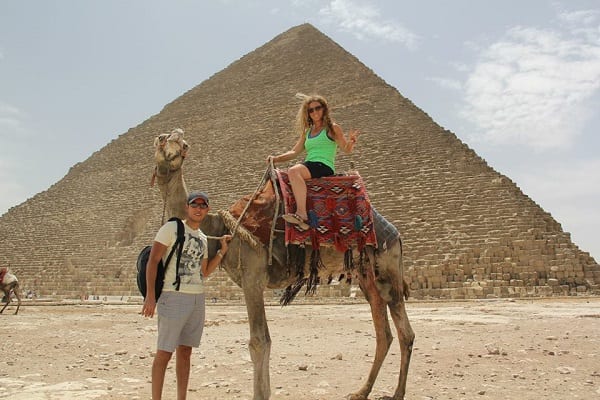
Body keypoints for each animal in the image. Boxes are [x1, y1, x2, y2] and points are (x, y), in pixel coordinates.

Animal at [151, 130, 412, 398]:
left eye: (182, 144)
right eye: (163, 138)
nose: (170, 145)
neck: (221, 227)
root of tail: (396, 234)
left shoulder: (253, 278)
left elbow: (259, 341)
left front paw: (260, 394)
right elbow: (262, 340)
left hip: (388, 269)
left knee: (405, 333)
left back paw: (397, 393)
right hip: (368, 277)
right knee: (384, 334)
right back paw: (362, 391)